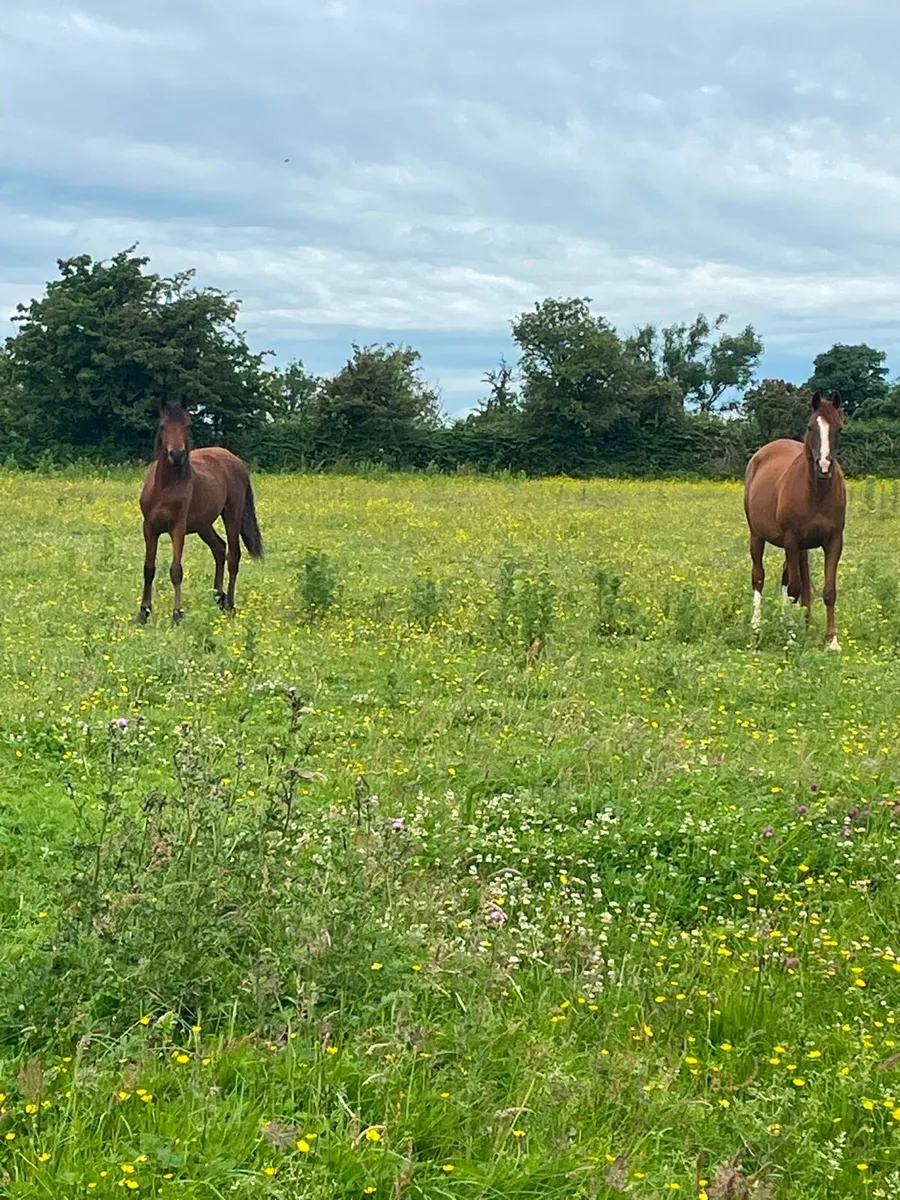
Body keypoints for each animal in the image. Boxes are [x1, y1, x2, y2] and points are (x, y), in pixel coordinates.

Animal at [138, 403, 264, 625]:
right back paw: (218, 597)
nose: (177, 455)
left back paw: (229, 605)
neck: (164, 487)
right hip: (203, 525)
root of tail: (236, 460)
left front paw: (177, 615)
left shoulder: (177, 529)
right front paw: (143, 613)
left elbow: (176, 570)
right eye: (163, 426)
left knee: (233, 556)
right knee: (219, 548)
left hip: (232, 516)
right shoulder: (150, 528)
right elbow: (148, 568)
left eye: (187, 425)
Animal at [743, 390, 846, 650]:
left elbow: (828, 591)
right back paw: (756, 629)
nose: (824, 466)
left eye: (839, 428)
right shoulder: (791, 540)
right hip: (758, 537)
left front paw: (831, 641)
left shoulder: (833, 542)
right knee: (759, 577)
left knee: (786, 578)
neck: (817, 492)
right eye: (811, 426)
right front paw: (791, 637)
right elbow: (795, 589)